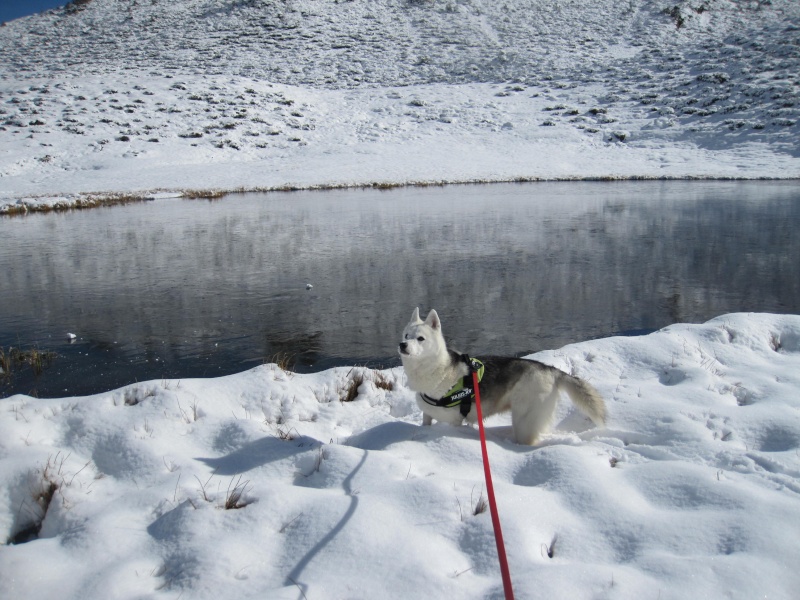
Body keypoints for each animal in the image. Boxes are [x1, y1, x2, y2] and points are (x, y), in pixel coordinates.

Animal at [400, 310, 608, 446]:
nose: (402, 345)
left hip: (524, 422)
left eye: (420, 339)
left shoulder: (454, 422)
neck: (437, 370)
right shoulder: (427, 416)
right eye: (406, 335)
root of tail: (550, 369)